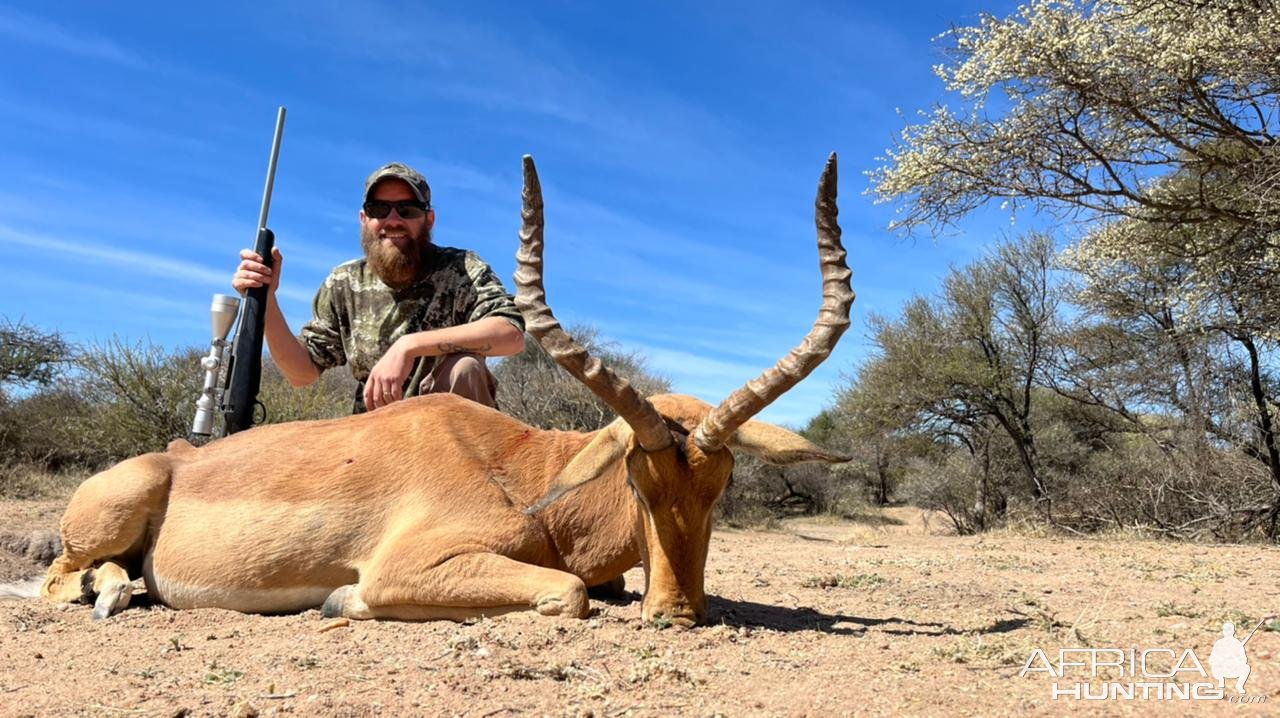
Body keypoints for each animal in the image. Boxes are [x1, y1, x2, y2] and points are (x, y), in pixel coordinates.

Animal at [40, 154, 855, 624]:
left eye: (720, 485)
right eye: (637, 479)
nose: (677, 614)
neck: (521, 472)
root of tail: (178, 456)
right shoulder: (410, 566)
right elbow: (570, 591)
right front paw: (343, 600)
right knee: (61, 576)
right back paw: (104, 595)